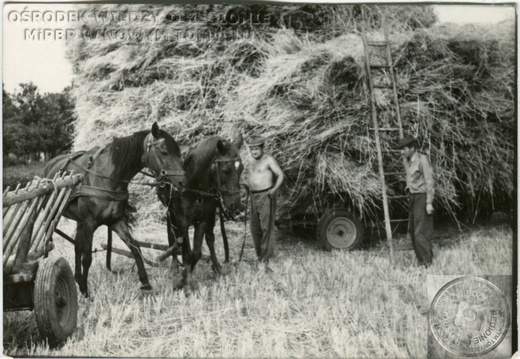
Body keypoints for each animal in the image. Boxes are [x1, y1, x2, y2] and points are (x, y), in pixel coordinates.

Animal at [43, 124, 184, 298]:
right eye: (164, 151)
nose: (182, 181)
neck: (107, 177)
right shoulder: (89, 223)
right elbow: (87, 258)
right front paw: (85, 290)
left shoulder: (116, 221)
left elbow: (135, 247)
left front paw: (145, 283)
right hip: (52, 217)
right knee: (48, 241)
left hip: (80, 221)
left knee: (76, 245)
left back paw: (77, 277)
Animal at [156, 135, 244, 290]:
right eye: (226, 170)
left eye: (241, 169)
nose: (235, 204)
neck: (193, 184)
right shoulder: (182, 219)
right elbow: (186, 250)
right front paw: (185, 281)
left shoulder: (203, 218)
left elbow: (196, 252)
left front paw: (186, 276)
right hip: (170, 211)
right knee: (173, 235)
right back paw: (174, 266)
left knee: (208, 239)